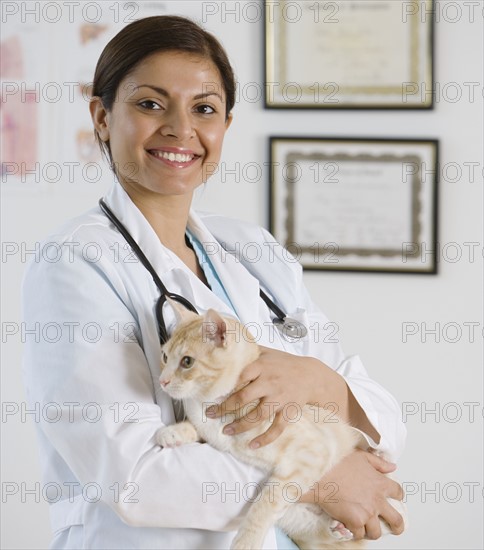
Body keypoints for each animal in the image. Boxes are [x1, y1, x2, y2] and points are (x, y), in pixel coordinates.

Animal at [157, 306, 402, 550]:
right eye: (165, 356)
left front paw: (247, 541)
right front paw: (173, 432)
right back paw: (339, 529)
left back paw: (379, 455)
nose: (162, 381)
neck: (211, 404)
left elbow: (266, 504)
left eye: (187, 362)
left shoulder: (309, 456)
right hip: (296, 518)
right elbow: (196, 429)